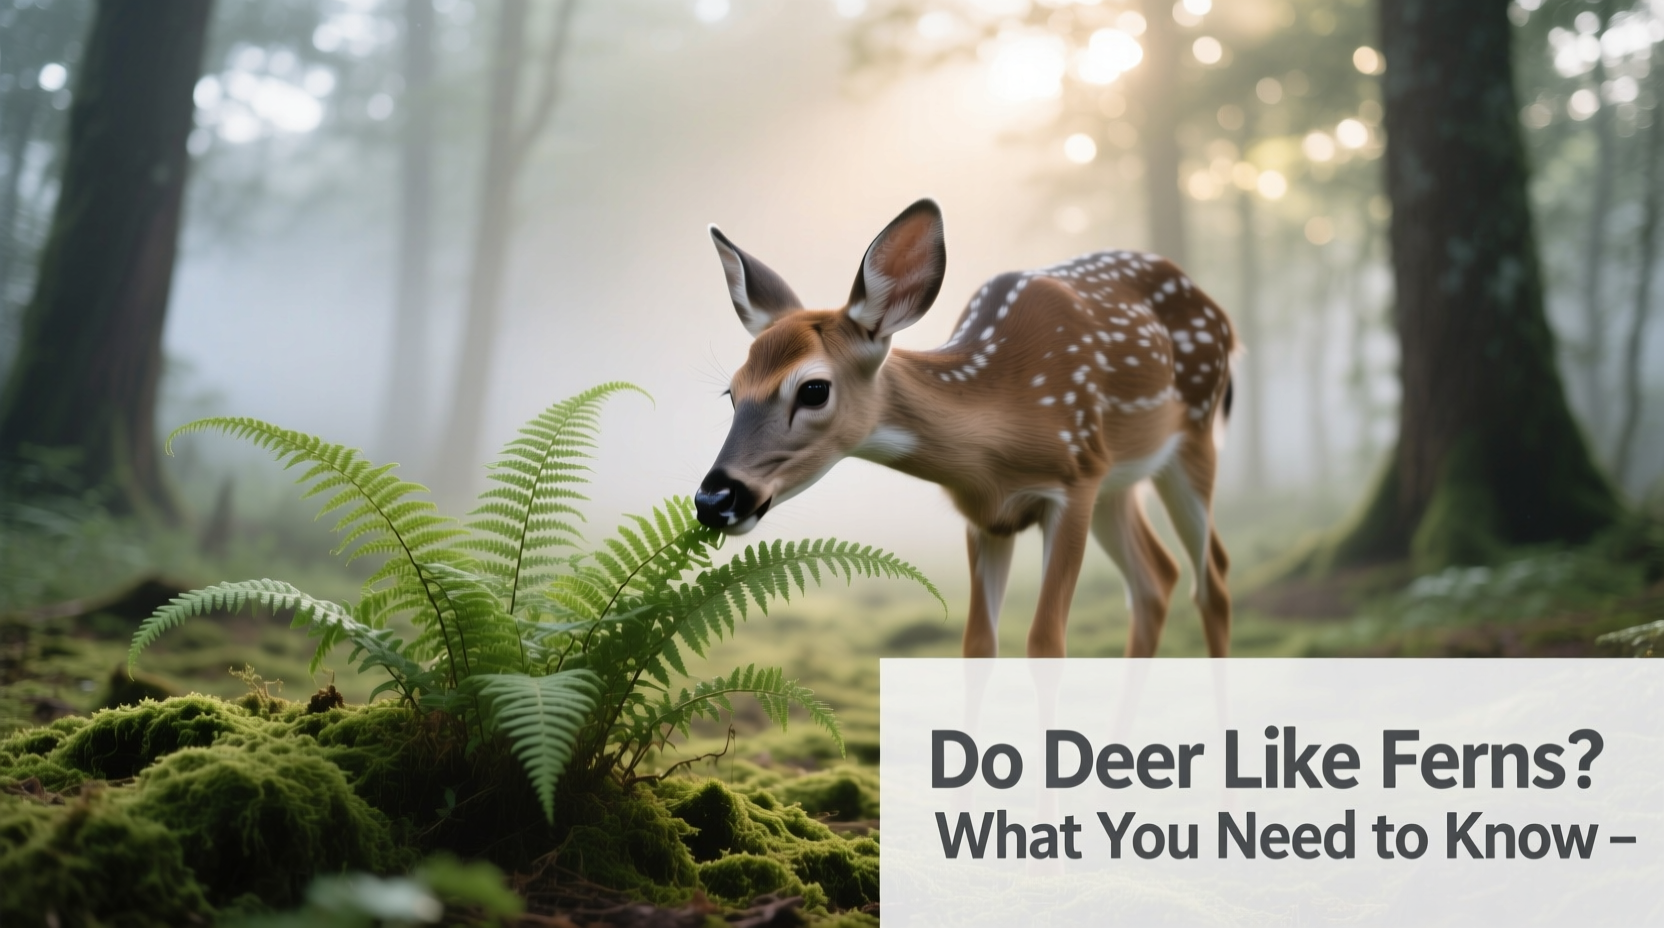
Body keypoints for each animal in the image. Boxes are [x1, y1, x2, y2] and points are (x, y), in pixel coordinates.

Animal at [693, 199, 1234, 658]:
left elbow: (1045, 642)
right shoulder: (985, 514)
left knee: (1213, 582)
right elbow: (977, 644)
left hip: (1191, 438)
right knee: (1156, 579)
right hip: (1118, 482)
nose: (714, 499)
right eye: (732, 392)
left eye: (813, 390)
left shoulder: (1075, 480)